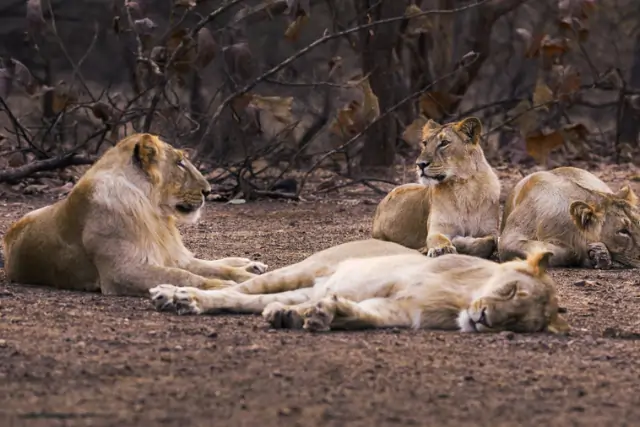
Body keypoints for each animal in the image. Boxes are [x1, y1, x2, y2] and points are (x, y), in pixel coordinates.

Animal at [2, 133, 267, 296]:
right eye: (180, 163)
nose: (209, 190)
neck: (154, 213)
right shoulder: (123, 271)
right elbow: (181, 275)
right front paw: (220, 286)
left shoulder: (168, 255)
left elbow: (217, 269)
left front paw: (244, 276)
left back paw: (252, 265)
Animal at [372, 117, 500, 259]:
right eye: (425, 143)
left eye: (444, 143)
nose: (420, 164)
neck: (464, 187)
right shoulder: (438, 228)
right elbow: (440, 239)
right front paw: (443, 249)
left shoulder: (491, 229)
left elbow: (489, 242)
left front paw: (460, 241)